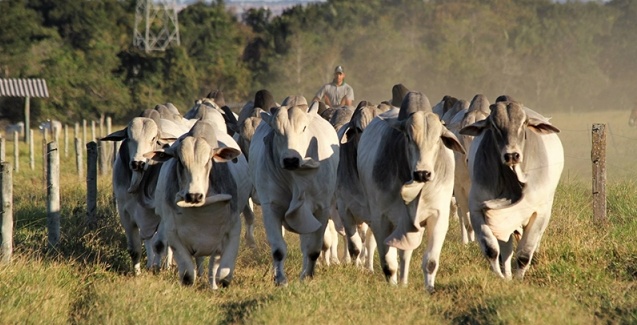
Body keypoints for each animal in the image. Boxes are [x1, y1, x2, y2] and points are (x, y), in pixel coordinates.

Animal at [146, 119, 251, 286]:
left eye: (208, 160)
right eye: (180, 162)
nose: (194, 196)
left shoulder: (233, 228)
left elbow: (223, 273)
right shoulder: (172, 232)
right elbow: (188, 275)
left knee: (213, 264)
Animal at [247, 100, 338, 284]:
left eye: (304, 128)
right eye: (276, 130)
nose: (291, 160)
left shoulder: (322, 209)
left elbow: (313, 249)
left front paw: (308, 277)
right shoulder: (270, 207)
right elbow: (278, 249)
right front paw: (280, 279)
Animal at [358, 91, 462, 292]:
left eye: (438, 139)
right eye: (407, 137)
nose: (422, 173)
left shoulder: (438, 217)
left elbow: (430, 261)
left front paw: (430, 289)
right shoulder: (381, 220)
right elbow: (388, 263)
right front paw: (392, 288)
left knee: (405, 254)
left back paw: (404, 282)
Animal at [458, 98, 560, 278]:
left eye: (524, 123)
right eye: (493, 125)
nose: (512, 155)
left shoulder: (540, 213)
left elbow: (524, 254)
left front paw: (519, 279)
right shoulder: (478, 209)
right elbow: (492, 250)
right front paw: (502, 278)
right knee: (506, 250)